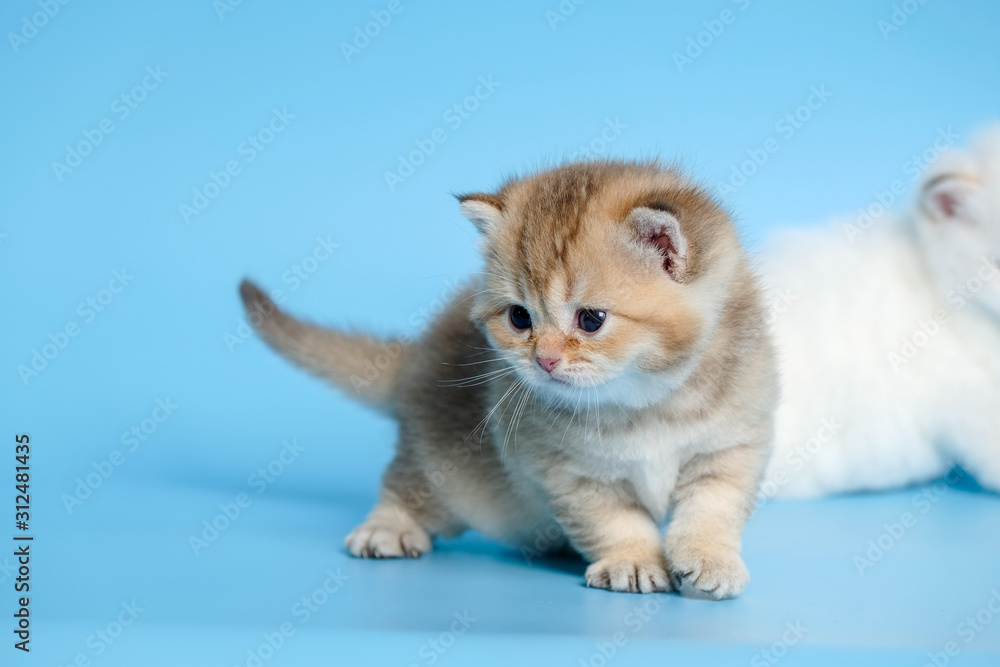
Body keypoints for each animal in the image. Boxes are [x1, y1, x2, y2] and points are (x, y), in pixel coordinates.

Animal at [240, 162, 772, 600]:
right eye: (520, 317)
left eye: (591, 320)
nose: (545, 360)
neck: (642, 404)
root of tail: (417, 360)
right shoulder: (567, 473)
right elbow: (614, 521)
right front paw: (635, 560)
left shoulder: (731, 448)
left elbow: (712, 510)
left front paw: (710, 560)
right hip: (444, 464)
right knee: (407, 483)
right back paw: (387, 527)